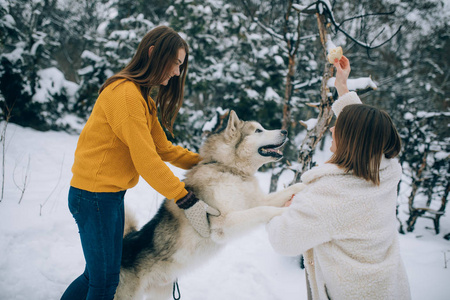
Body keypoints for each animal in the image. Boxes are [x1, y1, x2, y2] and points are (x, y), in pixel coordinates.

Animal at [115, 110, 306, 300]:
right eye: (259, 130)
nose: (285, 131)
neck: (229, 169)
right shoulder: (223, 224)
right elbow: (263, 210)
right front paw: (283, 213)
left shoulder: (256, 201)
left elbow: (283, 193)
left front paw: (304, 186)